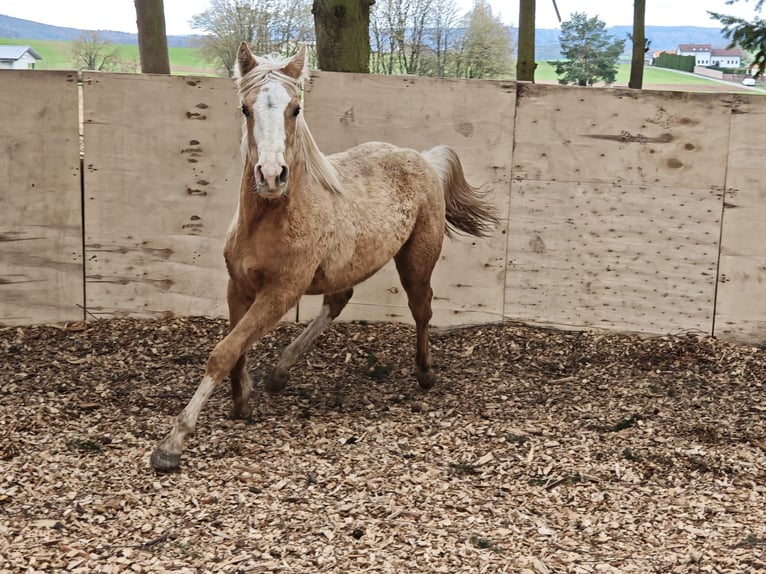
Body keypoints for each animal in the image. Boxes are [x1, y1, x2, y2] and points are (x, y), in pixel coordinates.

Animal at [150, 42, 498, 471]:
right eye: (245, 109)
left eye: (295, 109)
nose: (271, 175)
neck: (270, 218)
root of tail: (423, 159)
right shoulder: (239, 285)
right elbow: (237, 346)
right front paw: (243, 400)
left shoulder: (281, 292)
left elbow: (224, 351)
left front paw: (172, 444)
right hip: (349, 266)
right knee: (339, 300)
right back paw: (280, 373)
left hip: (415, 263)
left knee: (422, 309)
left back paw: (425, 372)